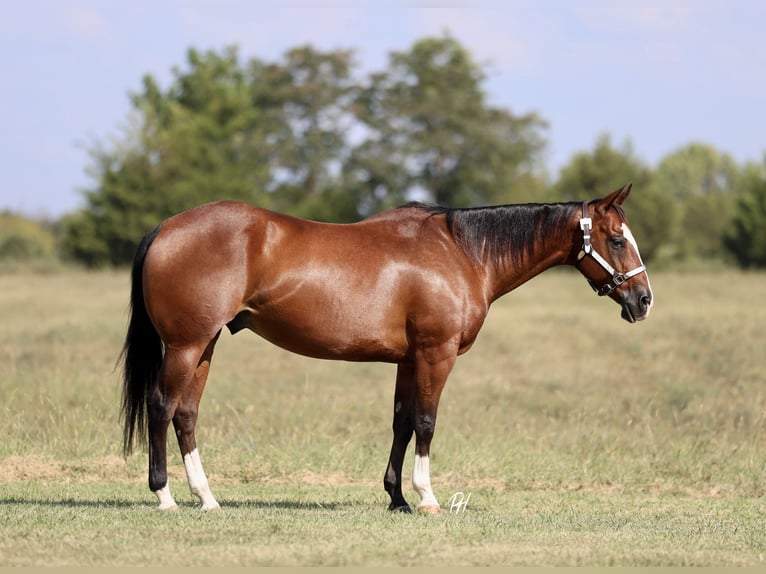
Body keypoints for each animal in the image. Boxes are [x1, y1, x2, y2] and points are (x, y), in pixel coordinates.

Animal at [119, 184, 653, 513]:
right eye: (615, 239)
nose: (643, 300)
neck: (461, 253)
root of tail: (166, 227)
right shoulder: (436, 354)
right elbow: (426, 422)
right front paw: (427, 497)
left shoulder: (408, 360)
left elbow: (401, 421)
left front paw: (396, 498)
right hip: (186, 345)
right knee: (162, 406)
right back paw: (164, 496)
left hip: (205, 344)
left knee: (187, 413)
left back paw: (206, 497)